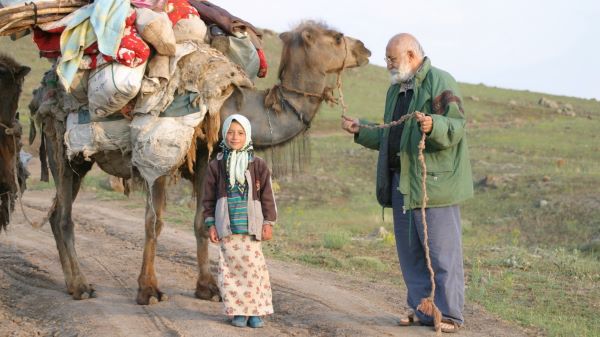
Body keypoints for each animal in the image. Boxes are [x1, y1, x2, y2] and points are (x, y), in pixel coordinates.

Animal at [31, 22, 370, 304]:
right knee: (64, 215)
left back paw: (73, 283)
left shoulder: (206, 158)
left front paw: (208, 288)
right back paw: (80, 286)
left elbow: (200, 222)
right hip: (60, 145)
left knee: (56, 213)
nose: (365, 49)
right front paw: (149, 290)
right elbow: (154, 223)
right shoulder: (161, 158)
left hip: (77, 161)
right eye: (337, 37)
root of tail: (41, 95)